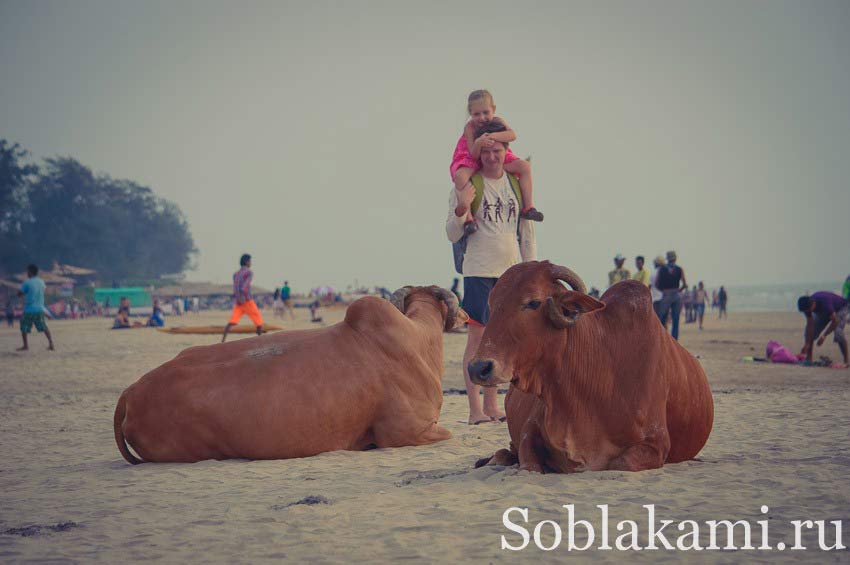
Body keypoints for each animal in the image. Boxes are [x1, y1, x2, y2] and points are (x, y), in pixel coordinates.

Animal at [468, 262, 712, 472]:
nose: (478, 368)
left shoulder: (656, 443)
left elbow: (620, 463)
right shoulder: (531, 429)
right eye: (491, 304)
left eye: (533, 302)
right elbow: (528, 463)